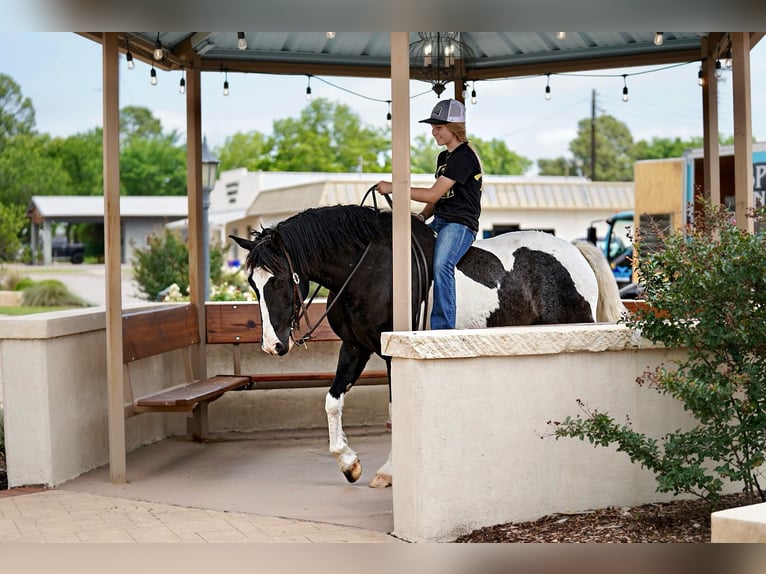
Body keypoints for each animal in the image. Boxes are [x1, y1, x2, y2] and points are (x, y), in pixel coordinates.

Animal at [231, 205, 628, 488]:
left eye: (279, 279)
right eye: (252, 283)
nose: (272, 346)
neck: (368, 270)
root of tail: (573, 249)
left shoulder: (392, 354)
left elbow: (395, 412)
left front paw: (389, 472)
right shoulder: (355, 347)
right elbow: (331, 401)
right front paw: (348, 463)